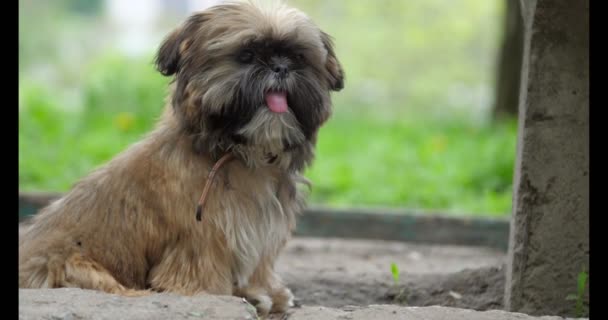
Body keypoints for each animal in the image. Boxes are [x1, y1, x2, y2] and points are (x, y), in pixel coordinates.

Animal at [17, 0, 342, 316]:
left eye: (298, 57)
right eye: (246, 55)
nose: (280, 67)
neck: (237, 153)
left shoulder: (261, 229)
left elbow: (259, 262)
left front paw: (264, 292)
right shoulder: (201, 236)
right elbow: (202, 274)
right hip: (66, 263)